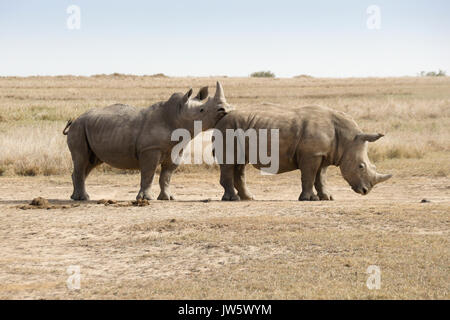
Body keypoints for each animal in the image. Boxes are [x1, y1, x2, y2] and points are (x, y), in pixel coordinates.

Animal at [62, 82, 232, 200]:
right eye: (202, 110)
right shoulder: (150, 149)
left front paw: (168, 198)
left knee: (90, 162)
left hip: (89, 128)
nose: (225, 109)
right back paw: (83, 198)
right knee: (81, 159)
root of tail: (75, 120)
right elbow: (148, 173)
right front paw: (145, 199)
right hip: (79, 128)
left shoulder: (177, 148)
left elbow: (166, 176)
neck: (177, 115)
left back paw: (76, 197)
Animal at [213, 106, 392, 201]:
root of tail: (221, 119)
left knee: (239, 165)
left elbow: (320, 178)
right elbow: (309, 176)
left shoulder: (322, 154)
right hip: (228, 130)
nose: (365, 191)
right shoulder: (311, 155)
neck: (347, 139)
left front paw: (327, 198)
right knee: (230, 163)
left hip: (237, 128)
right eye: (361, 166)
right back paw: (233, 199)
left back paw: (249, 198)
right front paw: (308, 199)